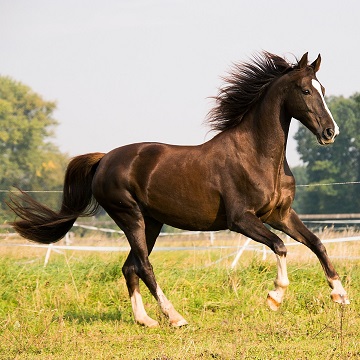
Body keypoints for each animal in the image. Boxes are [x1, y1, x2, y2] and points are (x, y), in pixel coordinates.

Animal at [7, 52, 348, 328]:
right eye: (306, 90)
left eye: (323, 90)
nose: (330, 132)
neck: (257, 156)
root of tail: (104, 159)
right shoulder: (241, 219)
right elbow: (280, 246)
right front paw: (275, 297)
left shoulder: (280, 214)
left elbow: (316, 243)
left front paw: (340, 294)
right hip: (130, 216)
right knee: (143, 266)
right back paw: (175, 317)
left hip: (152, 222)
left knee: (129, 266)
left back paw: (145, 320)